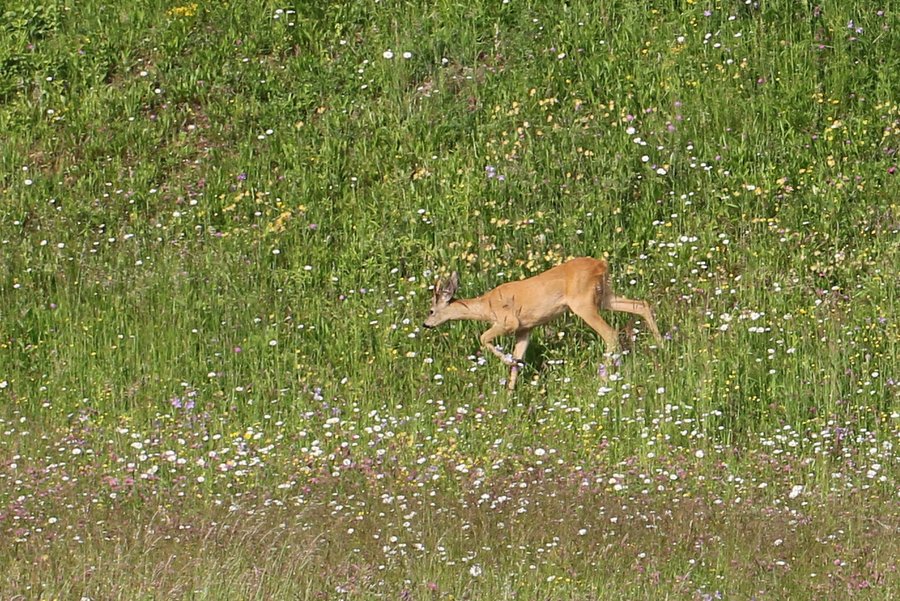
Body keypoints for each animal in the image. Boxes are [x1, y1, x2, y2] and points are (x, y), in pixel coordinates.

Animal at [422, 256, 660, 390]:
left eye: (431, 310)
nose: (425, 324)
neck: (487, 306)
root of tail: (602, 264)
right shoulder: (525, 329)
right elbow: (517, 359)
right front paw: (510, 397)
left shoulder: (508, 322)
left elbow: (483, 337)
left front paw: (507, 361)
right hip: (604, 297)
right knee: (640, 304)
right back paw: (661, 345)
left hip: (583, 303)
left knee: (610, 334)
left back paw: (602, 380)